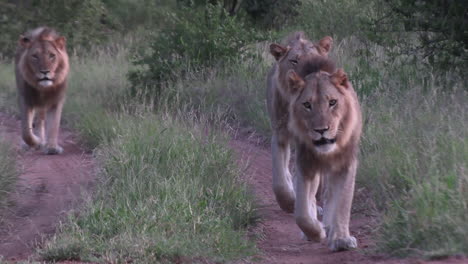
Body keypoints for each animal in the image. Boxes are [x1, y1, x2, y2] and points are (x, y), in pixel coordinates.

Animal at [14, 26, 68, 155]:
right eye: (35, 56)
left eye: (52, 55)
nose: (45, 72)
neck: (43, 89)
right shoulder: (26, 99)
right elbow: (26, 131)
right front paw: (37, 142)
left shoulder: (56, 101)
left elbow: (54, 125)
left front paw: (52, 148)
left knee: (41, 120)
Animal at [282, 56, 362, 251]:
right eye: (307, 105)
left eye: (332, 102)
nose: (321, 130)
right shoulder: (305, 164)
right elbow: (302, 212)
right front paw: (315, 232)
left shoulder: (346, 164)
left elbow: (343, 202)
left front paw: (341, 240)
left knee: (330, 195)